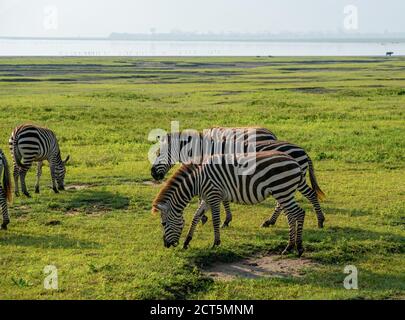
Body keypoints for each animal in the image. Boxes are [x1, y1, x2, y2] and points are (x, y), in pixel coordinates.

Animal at [153, 151, 308, 258]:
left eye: (163, 224)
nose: (166, 245)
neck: (197, 180)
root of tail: (295, 162)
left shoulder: (214, 196)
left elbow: (216, 220)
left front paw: (215, 243)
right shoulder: (206, 198)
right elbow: (195, 217)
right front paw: (187, 242)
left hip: (282, 190)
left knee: (299, 213)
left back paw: (299, 247)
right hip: (284, 192)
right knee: (291, 216)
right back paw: (289, 247)